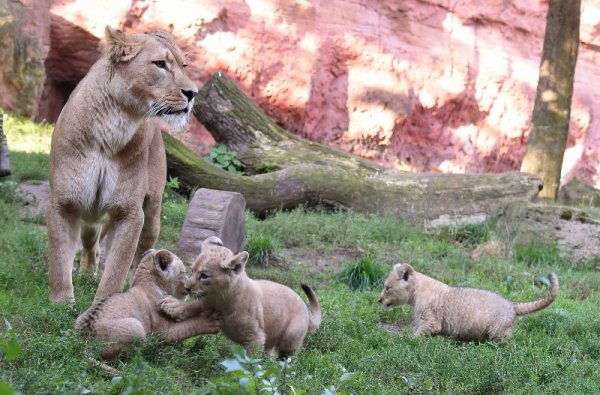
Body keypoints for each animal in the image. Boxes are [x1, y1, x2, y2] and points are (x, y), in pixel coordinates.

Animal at [47, 25, 197, 304]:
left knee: (142, 255)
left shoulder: (130, 213)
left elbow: (117, 267)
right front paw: (61, 303)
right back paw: (86, 273)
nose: (193, 93)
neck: (114, 124)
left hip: (152, 216)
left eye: (184, 66)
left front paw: (106, 304)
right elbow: (59, 258)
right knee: (91, 242)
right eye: (160, 64)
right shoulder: (62, 203)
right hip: (89, 217)